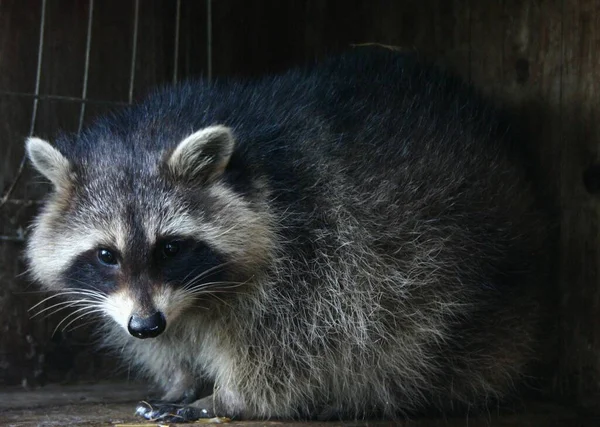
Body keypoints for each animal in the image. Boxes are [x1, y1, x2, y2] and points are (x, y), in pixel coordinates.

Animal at [25, 48, 552, 422]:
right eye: (106, 255)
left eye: (171, 248)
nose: (146, 325)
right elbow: (173, 339)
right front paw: (183, 376)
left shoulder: (319, 251)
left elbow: (294, 348)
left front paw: (225, 398)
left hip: (474, 281)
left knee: (416, 338)